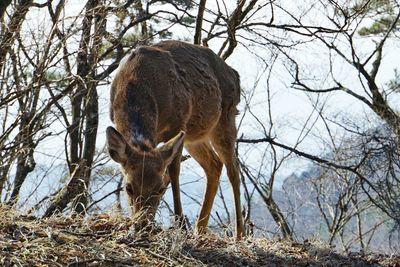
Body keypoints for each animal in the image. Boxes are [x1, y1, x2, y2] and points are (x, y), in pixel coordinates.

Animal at [106, 39, 244, 239]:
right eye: (128, 187)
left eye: (160, 189)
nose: (142, 224)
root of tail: (234, 74)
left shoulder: (178, 123)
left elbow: (173, 171)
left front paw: (181, 224)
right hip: (195, 136)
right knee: (214, 164)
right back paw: (200, 228)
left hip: (225, 117)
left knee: (233, 169)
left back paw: (239, 233)